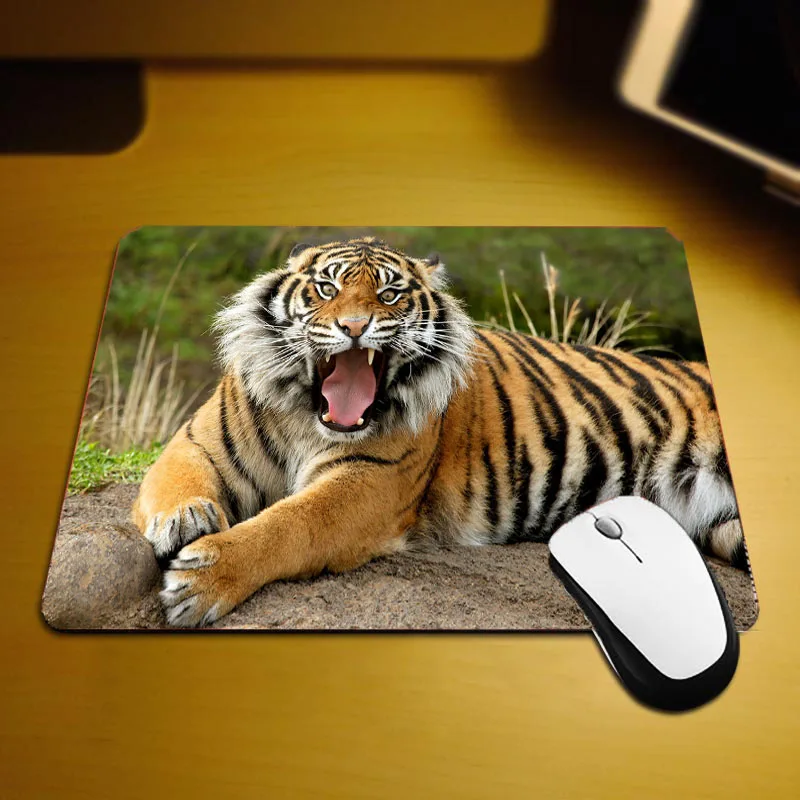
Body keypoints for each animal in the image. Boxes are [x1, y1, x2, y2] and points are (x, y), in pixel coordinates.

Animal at [132, 237, 746, 627]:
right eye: (327, 290)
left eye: (389, 295)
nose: (353, 327)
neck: (305, 414)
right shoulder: (198, 442)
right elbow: (174, 481)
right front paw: (183, 519)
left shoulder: (369, 483)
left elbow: (288, 525)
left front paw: (201, 582)